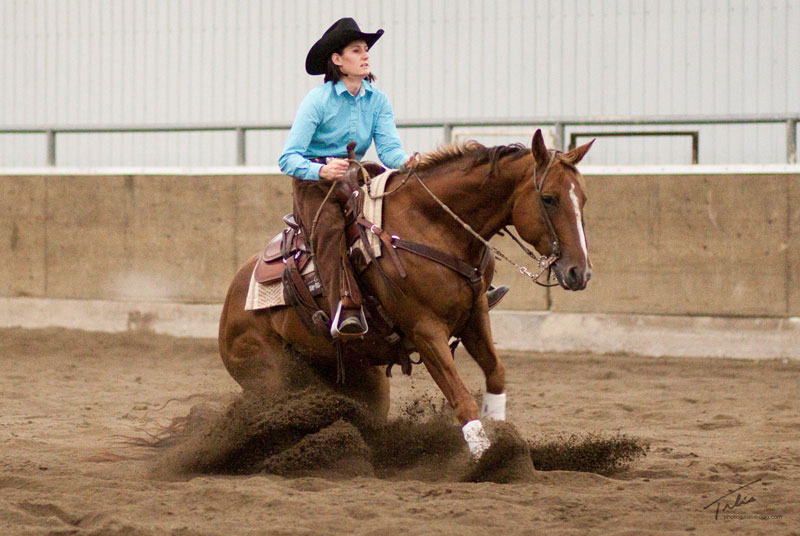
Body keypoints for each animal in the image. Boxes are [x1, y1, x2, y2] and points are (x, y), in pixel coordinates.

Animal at [219, 130, 592, 456]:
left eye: (584, 198)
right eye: (548, 198)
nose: (580, 272)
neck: (432, 227)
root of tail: (230, 304)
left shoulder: (475, 317)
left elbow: (496, 373)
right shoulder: (425, 330)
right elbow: (460, 398)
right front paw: (490, 458)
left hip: (362, 380)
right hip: (270, 377)